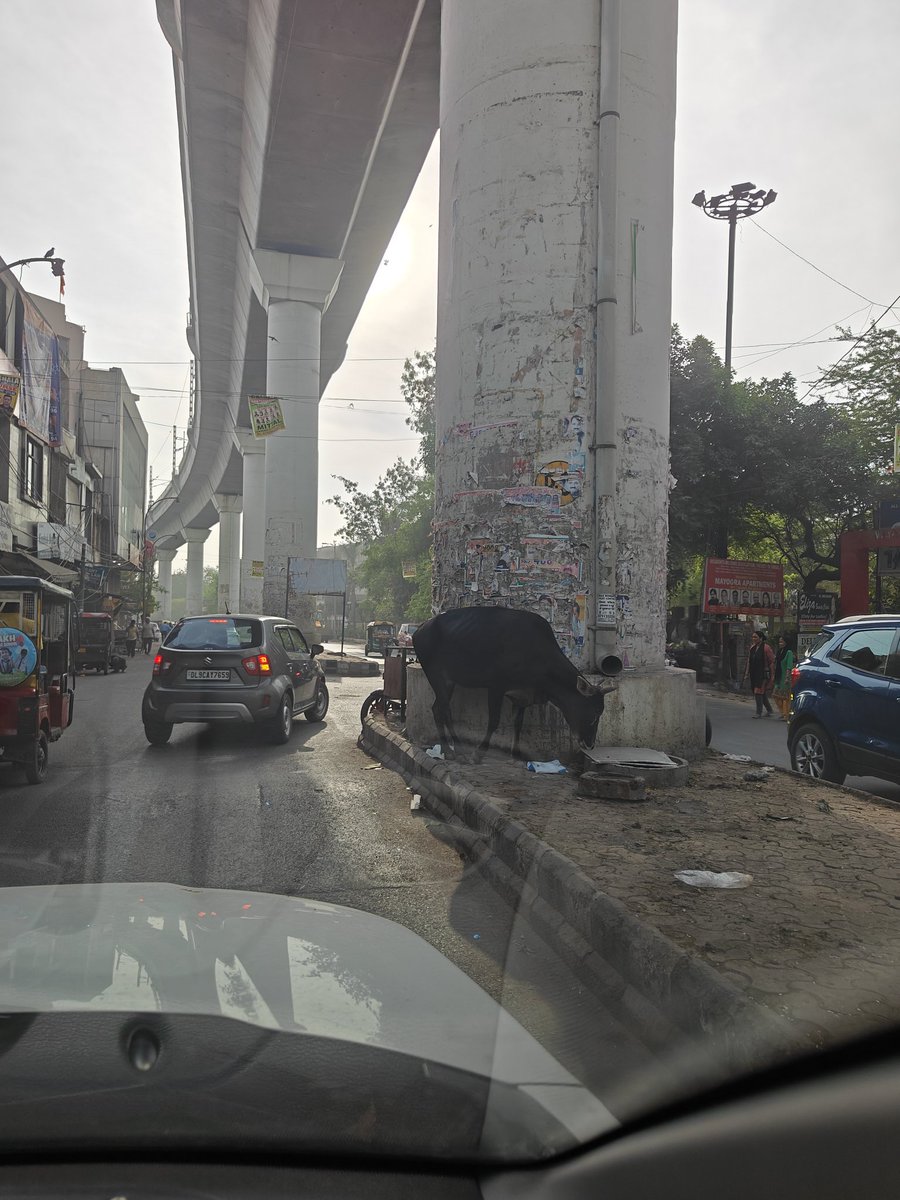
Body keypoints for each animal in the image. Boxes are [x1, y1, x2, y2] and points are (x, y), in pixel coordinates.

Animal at [415, 609, 614, 758]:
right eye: (593, 713)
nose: (590, 744)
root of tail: (419, 629)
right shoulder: (496, 686)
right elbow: (494, 721)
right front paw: (480, 752)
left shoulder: (522, 696)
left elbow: (518, 723)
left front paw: (516, 752)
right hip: (436, 675)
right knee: (445, 710)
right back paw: (455, 748)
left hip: (448, 682)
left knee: (437, 709)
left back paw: (448, 749)